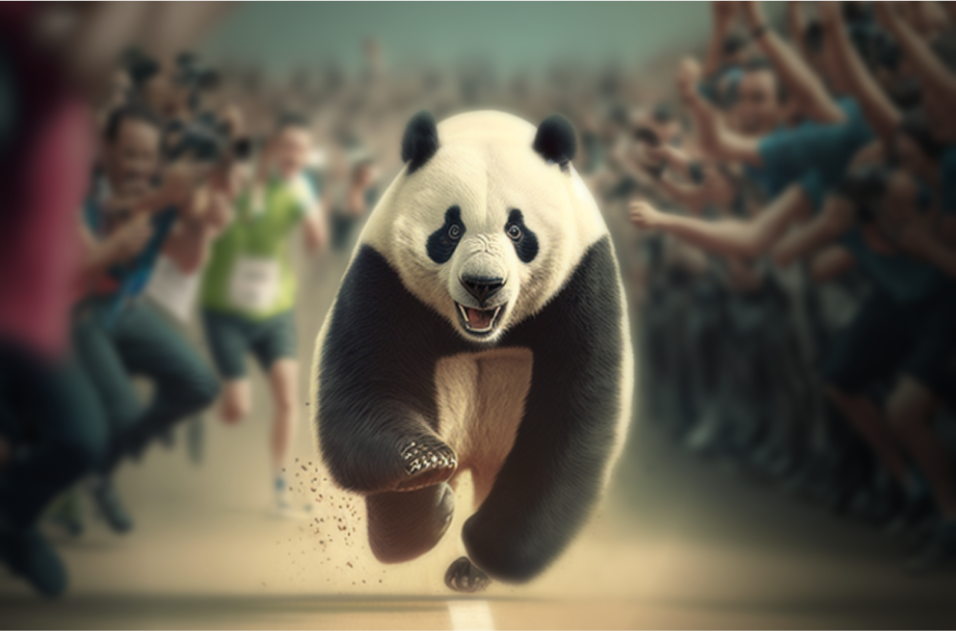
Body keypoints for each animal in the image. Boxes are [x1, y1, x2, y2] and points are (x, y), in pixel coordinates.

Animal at [312, 109, 633, 592]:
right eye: (451, 229)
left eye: (517, 230)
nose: (483, 284)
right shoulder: (384, 274)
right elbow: (367, 388)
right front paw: (424, 462)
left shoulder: (582, 281)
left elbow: (569, 422)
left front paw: (486, 545)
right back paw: (426, 516)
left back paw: (467, 571)